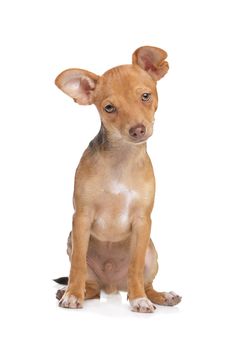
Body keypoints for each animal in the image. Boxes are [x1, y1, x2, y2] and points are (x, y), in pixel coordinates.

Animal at [53, 45, 181, 312]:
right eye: (109, 108)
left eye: (146, 96)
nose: (138, 130)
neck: (121, 158)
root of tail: (110, 286)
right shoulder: (81, 218)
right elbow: (77, 264)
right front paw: (72, 295)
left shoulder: (143, 222)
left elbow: (135, 266)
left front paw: (139, 300)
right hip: (72, 243)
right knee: (88, 284)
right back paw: (73, 291)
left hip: (152, 253)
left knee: (145, 283)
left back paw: (159, 296)